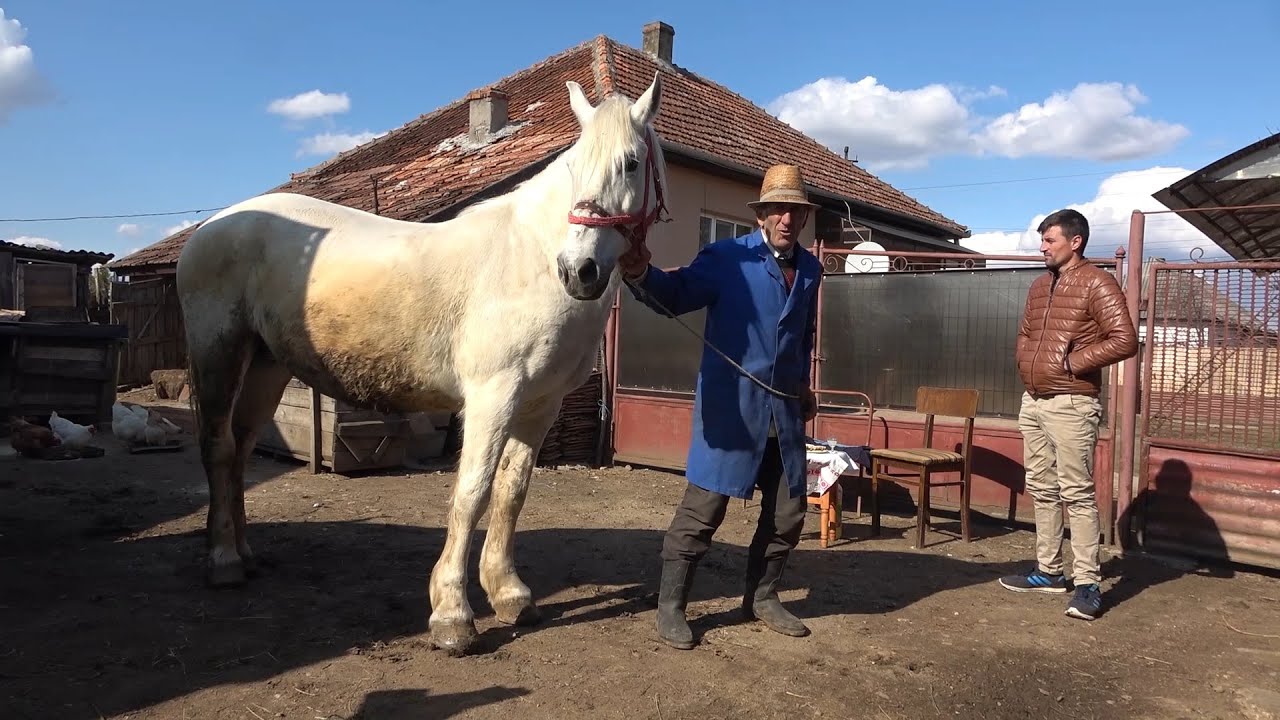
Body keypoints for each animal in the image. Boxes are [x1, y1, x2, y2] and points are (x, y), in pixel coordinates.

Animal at [175, 73, 668, 656]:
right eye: (574, 166)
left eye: (631, 163)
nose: (579, 270)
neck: (529, 262)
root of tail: (213, 226)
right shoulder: (492, 396)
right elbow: (472, 491)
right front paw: (453, 615)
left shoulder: (540, 405)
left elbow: (512, 491)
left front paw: (509, 594)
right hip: (219, 352)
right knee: (219, 446)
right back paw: (224, 561)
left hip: (266, 365)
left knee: (242, 446)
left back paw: (245, 553)